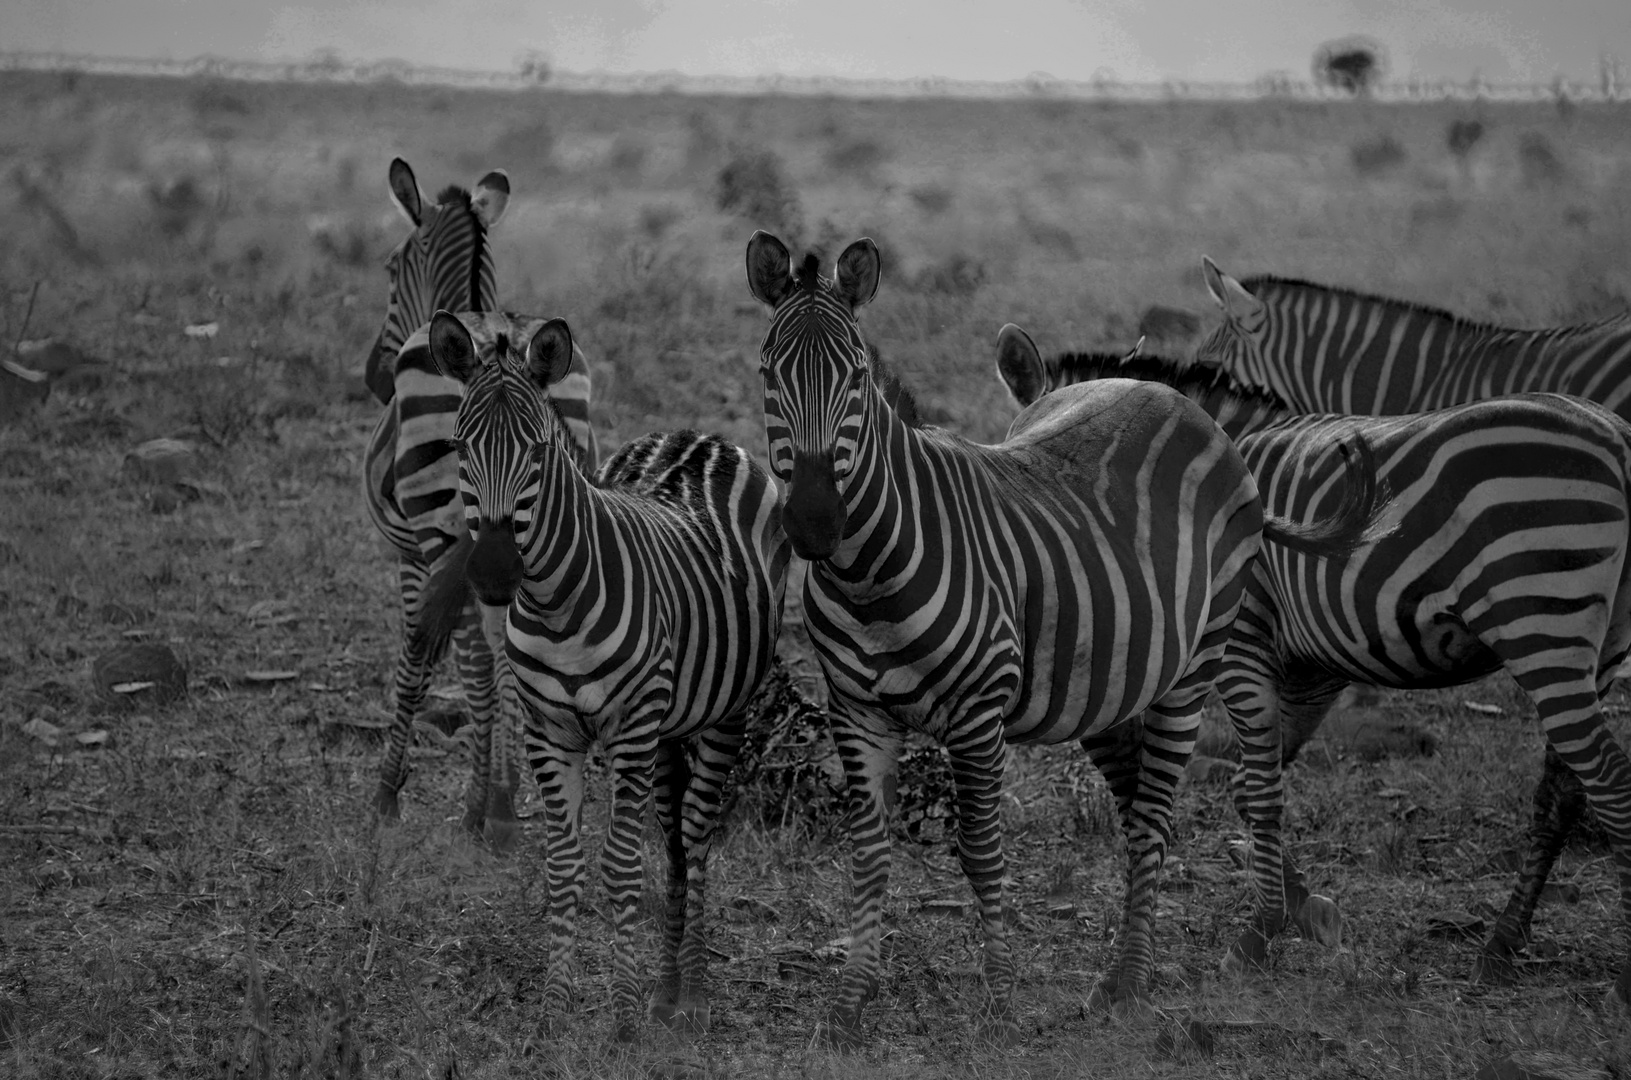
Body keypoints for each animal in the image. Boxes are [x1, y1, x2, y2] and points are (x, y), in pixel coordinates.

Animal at [360, 160, 603, 854]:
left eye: (391, 268)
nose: (374, 378)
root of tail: (503, 336)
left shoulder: (416, 555)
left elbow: (423, 653)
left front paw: (389, 792)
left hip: (446, 527)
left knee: (476, 651)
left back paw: (484, 806)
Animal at [424, 308, 786, 1044]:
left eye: (537, 450)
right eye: (460, 445)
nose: (493, 575)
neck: (557, 605)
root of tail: (696, 436)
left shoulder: (629, 728)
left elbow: (620, 864)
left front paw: (619, 1013)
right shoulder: (549, 732)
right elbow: (563, 866)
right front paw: (557, 1003)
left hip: (721, 713)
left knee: (695, 838)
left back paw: (691, 997)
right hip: (672, 722)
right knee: (674, 841)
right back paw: (667, 989)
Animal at [743, 230, 1389, 1050]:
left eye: (855, 377)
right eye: (768, 374)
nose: (814, 523)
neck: (869, 570)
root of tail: (1181, 402)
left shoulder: (977, 714)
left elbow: (980, 850)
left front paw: (998, 997)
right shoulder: (855, 714)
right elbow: (866, 854)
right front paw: (851, 1003)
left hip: (1194, 663)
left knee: (1155, 819)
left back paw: (1130, 982)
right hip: (1111, 683)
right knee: (1138, 812)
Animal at [998, 329, 1631, 1004]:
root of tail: (1615, 438)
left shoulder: (1243, 642)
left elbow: (1259, 789)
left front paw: (1260, 933)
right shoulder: (1314, 670)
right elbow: (1254, 788)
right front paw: (1303, 909)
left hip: (1541, 621)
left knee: (1607, 780)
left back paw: (1616, 978)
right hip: (1598, 647)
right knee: (1563, 793)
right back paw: (1501, 945)